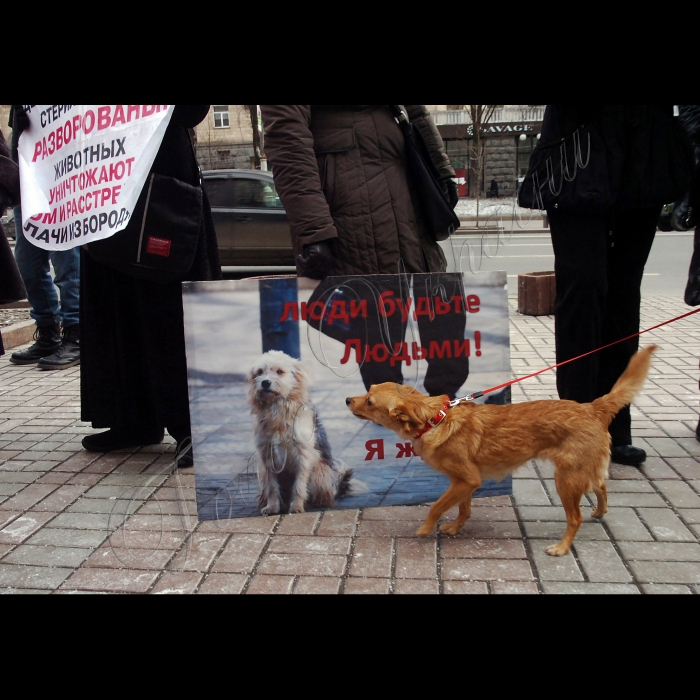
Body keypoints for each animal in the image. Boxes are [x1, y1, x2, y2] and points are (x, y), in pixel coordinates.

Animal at [344, 346, 656, 556]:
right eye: (368, 389)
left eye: (370, 401)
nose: (347, 399)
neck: (436, 419)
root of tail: (591, 407)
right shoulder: (464, 482)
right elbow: (463, 508)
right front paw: (456, 527)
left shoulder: (466, 480)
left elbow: (436, 506)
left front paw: (426, 528)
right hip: (582, 471)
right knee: (601, 485)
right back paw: (600, 511)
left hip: (565, 480)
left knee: (575, 517)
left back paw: (562, 547)